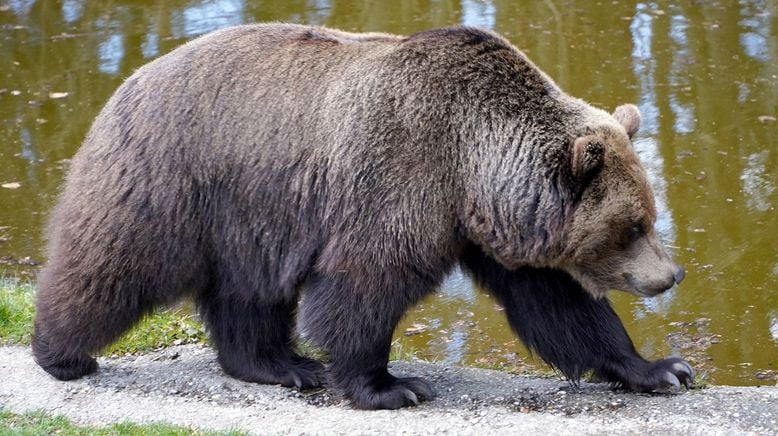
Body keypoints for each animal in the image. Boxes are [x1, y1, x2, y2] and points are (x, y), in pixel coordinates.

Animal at [34, 23, 692, 410]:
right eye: (633, 225)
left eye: (651, 214)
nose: (669, 276)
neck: (472, 165)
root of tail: (132, 78)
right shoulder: (399, 176)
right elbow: (363, 285)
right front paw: (392, 385)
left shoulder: (496, 232)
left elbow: (560, 305)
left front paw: (660, 368)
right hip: (177, 180)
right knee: (113, 264)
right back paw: (62, 355)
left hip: (249, 217)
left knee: (248, 295)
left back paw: (283, 365)